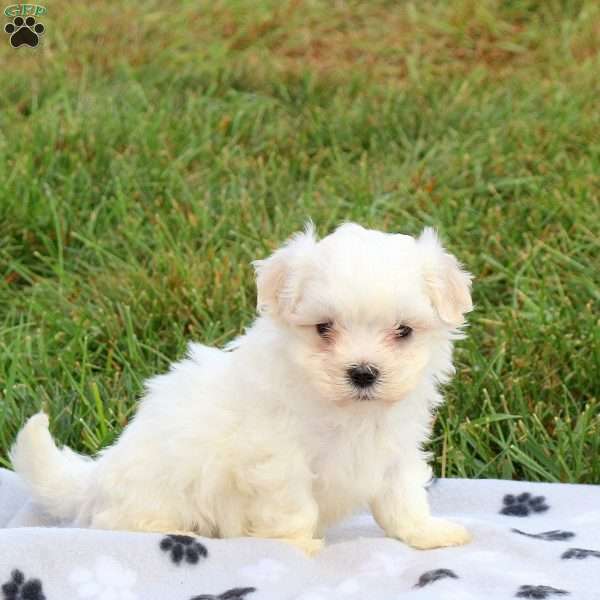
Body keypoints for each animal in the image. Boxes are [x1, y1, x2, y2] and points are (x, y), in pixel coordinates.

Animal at [10, 223, 474, 556]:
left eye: (403, 331)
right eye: (323, 328)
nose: (363, 372)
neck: (348, 410)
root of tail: (96, 476)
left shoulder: (395, 449)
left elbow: (403, 498)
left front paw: (427, 533)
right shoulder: (278, 462)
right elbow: (294, 507)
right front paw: (298, 547)